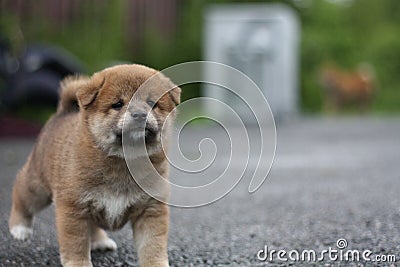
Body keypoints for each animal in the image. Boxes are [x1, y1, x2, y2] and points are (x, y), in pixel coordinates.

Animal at [8, 65, 180, 267]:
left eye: (152, 102)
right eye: (118, 104)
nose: (140, 114)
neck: (123, 162)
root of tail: (62, 113)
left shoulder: (151, 210)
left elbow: (152, 246)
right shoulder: (73, 208)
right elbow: (76, 245)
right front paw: (79, 264)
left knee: (93, 227)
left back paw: (100, 241)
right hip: (38, 187)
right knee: (21, 193)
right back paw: (20, 228)